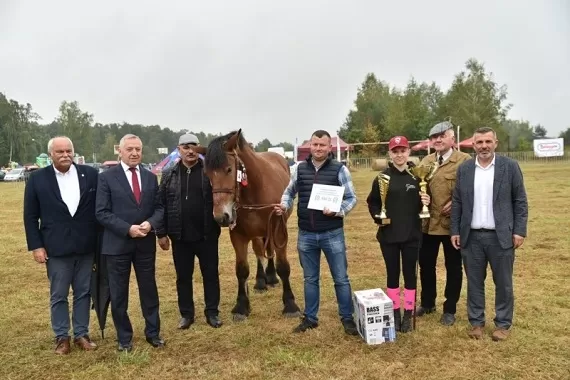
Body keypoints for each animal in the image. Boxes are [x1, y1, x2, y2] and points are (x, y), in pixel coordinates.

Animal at [195, 130, 300, 320]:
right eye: (207, 174)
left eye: (229, 169)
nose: (221, 216)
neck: (255, 190)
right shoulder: (238, 235)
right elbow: (242, 270)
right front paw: (241, 306)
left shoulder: (278, 230)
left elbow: (283, 266)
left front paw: (290, 305)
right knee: (260, 251)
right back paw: (262, 281)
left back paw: (271, 277)